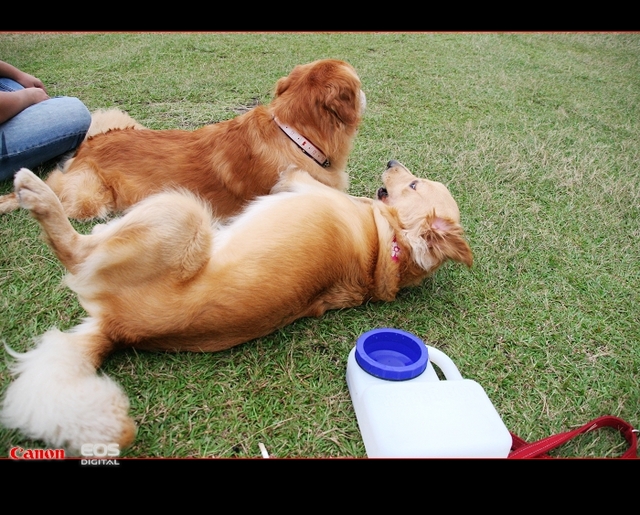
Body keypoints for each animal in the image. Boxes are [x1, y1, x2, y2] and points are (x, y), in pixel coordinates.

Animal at [0, 59, 365, 220]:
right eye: (359, 84)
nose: (367, 93)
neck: (295, 135)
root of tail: (92, 142)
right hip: (90, 200)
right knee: (50, 188)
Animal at [0, 161, 473, 453]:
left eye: (414, 184)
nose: (392, 161)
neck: (386, 244)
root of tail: (118, 328)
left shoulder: (306, 185)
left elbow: (301, 173)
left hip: (181, 209)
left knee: (75, 249)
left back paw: (37, 194)